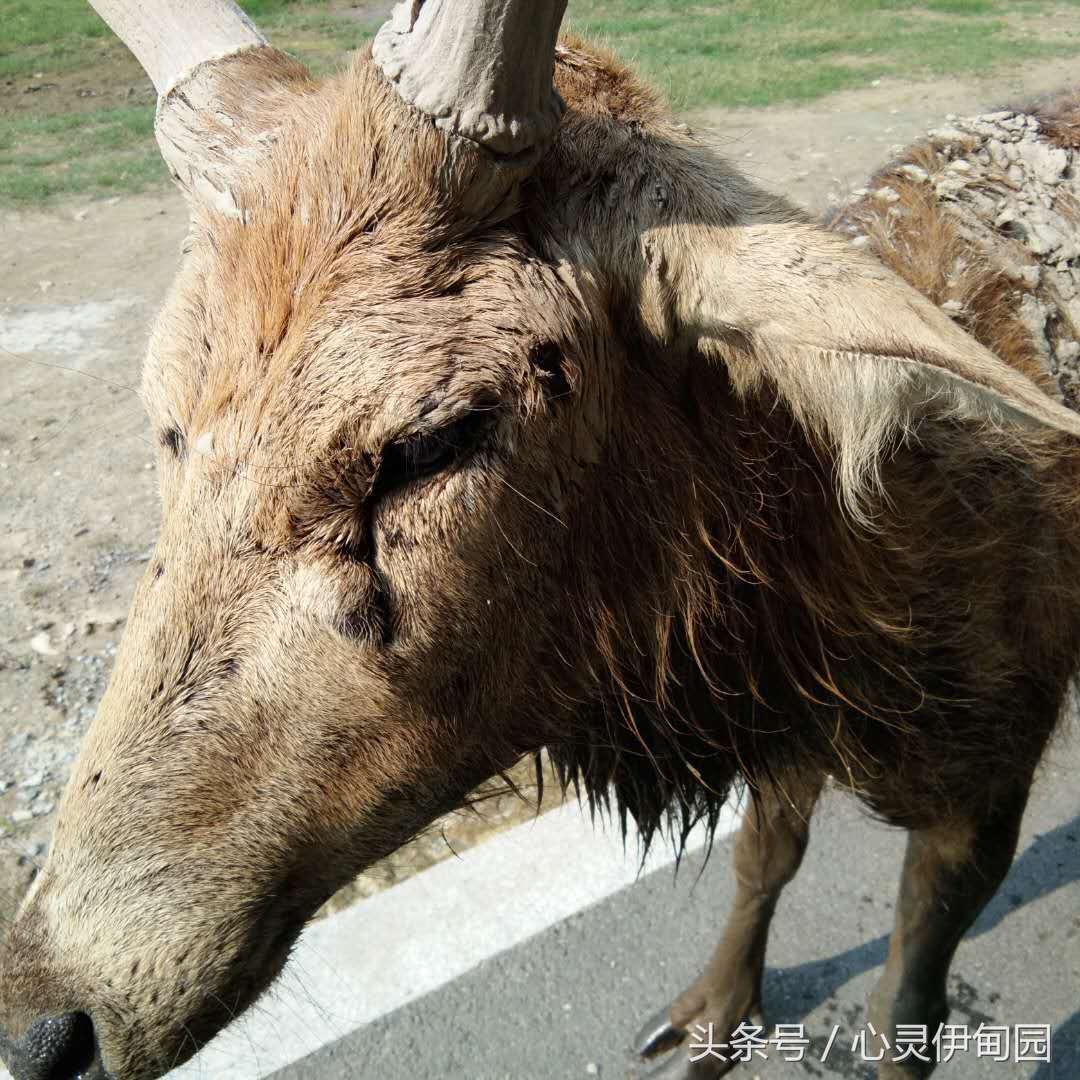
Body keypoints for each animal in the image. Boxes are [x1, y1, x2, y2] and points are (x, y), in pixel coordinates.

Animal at [2, 1, 1080, 1078]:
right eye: (164, 416)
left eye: (432, 439)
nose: (47, 1021)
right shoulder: (793, 742)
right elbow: (764, 853)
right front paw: (710, 1020)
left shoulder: (994, 772)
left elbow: (906, 1005)